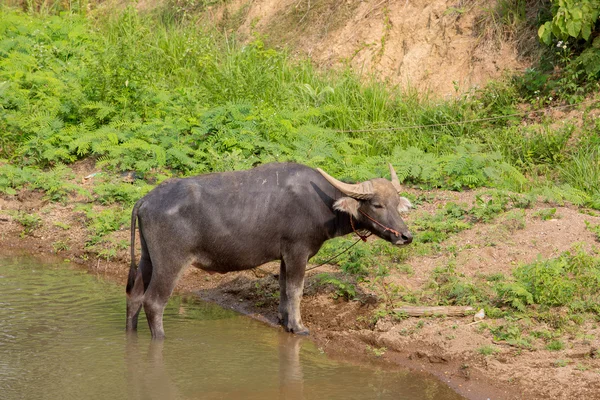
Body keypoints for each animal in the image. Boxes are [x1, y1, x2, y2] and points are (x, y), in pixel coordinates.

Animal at [126, 162, 412, 338]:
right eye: (377, 205)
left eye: (396, 203)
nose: (406, 236)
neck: (323, 204)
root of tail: (146, 199)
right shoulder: (298, 252)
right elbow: (296, 290)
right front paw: (299, 326)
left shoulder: (285, 256)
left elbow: (284, 288)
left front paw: (284, 320)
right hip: (170, 263)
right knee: (153, 302)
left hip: (147, 259)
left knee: (134, 296)